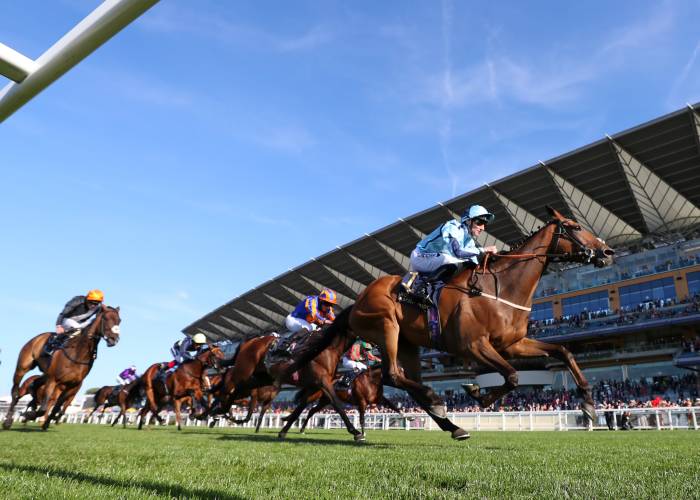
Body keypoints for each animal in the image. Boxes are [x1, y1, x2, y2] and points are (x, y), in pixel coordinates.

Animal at [298, 207, 616, 442]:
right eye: (574, 226)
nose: (608, 252)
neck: (502, 287)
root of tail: (357, 301)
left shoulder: (512, 344)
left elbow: (563, 351)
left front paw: (588, 404)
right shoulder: (473, 345)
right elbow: (512, 376)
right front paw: (479, 395)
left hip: (408, 344)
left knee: (405, 380)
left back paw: (451, 424)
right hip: (386, 326)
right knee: (392, 375)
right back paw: (435, 400)